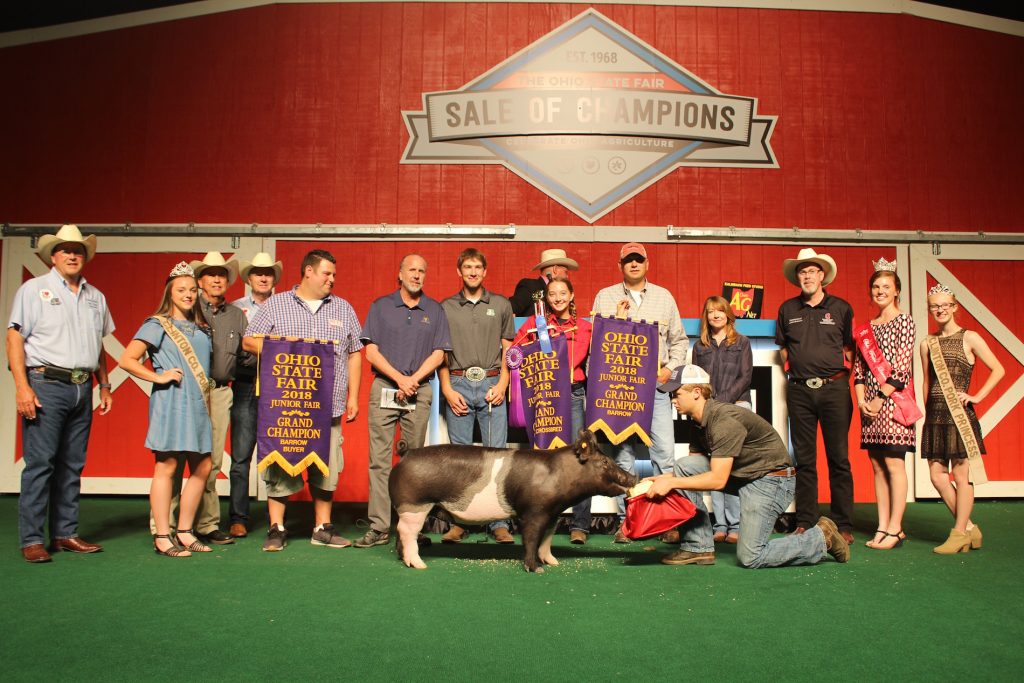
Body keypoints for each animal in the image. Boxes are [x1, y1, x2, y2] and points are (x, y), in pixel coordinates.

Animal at [389, 429, 637, 573]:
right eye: (604, 462)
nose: (633, 477)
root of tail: (407, 453)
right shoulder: (533, 512)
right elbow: (531, 539)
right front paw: (536, 570)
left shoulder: (552, 514)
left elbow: (546, 541)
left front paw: (553, 562)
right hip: (415, 505)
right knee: (407, 532)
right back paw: (420, 565)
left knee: (401, 533)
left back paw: (403, 559)